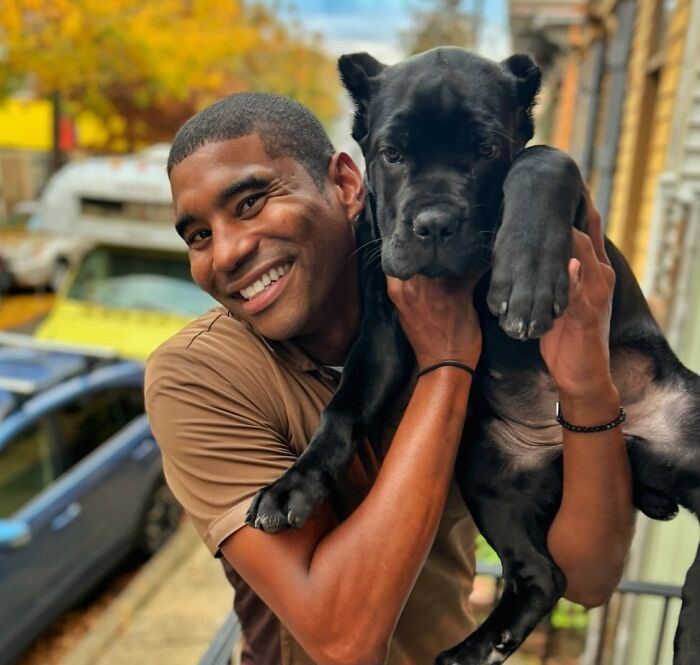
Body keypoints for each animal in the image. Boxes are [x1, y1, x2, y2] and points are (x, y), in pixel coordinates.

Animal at [247, 48, 700, 664]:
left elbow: (541, 158)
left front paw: (525, 277)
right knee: (543, 575)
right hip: (488, 477)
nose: (435, 223)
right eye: (392, 154)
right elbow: (342, 410)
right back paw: (478, 646)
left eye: (486, 150)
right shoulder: (383, 333)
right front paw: (295, 483)